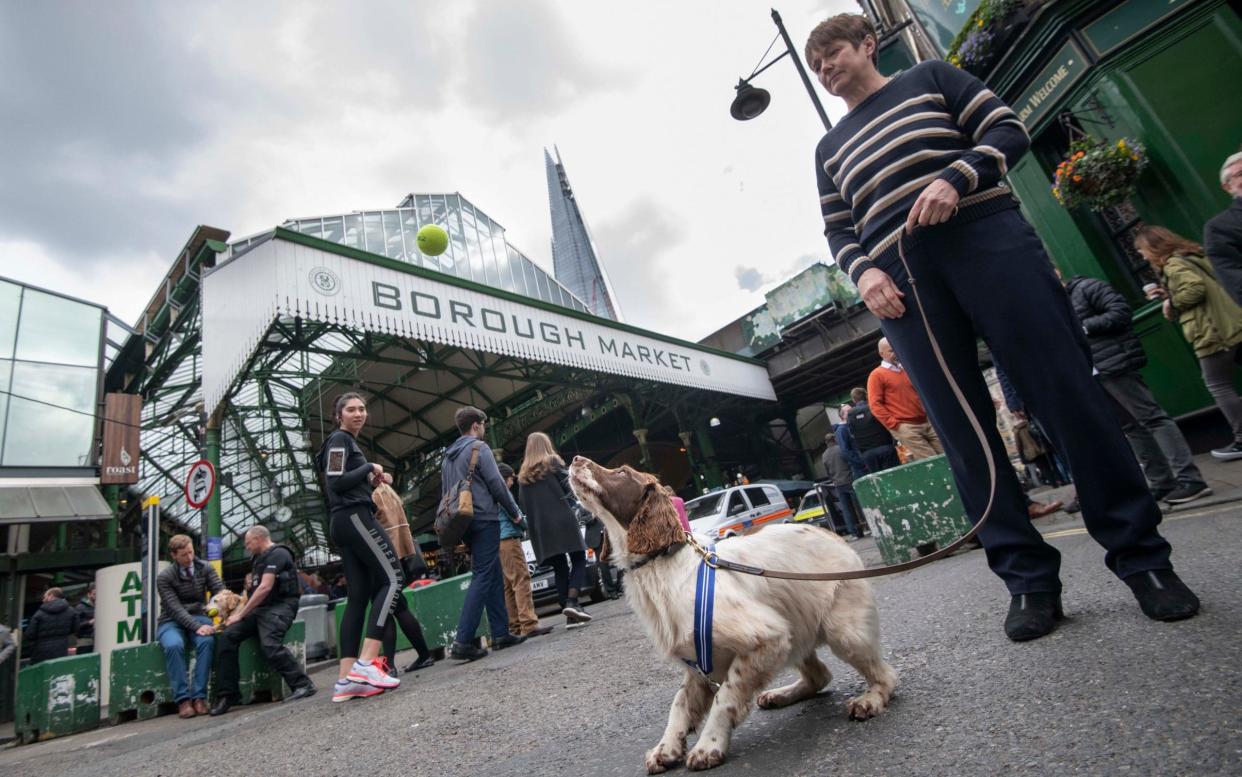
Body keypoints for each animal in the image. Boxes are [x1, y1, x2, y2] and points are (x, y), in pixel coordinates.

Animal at [568, 454, 899, 769]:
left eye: (622, 472)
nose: (574, 459)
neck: (661, 565)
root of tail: (830, 532)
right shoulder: (698, 662)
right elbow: (679, 705)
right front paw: (666, 748)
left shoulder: (767, 638)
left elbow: (725, 698)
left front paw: (708, 746)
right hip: (797, 630)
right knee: (821, 675)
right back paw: (781, 694)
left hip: (843, 631)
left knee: (886, 676)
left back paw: (869, 700)